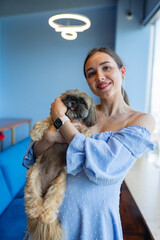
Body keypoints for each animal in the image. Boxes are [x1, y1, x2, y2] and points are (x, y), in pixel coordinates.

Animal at [24, 89, 98, 240]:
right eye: (69, 97)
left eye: (82, 102)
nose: (73, 102)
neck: (71, 120)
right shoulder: (54, 121)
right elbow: (47, 120)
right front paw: (36, 132)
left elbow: (84, 131)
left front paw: (86, 135)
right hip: (33, 178)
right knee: (32, 200)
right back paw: (36, 212)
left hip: (58, 185)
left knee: (51, 203)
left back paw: (46, 216)